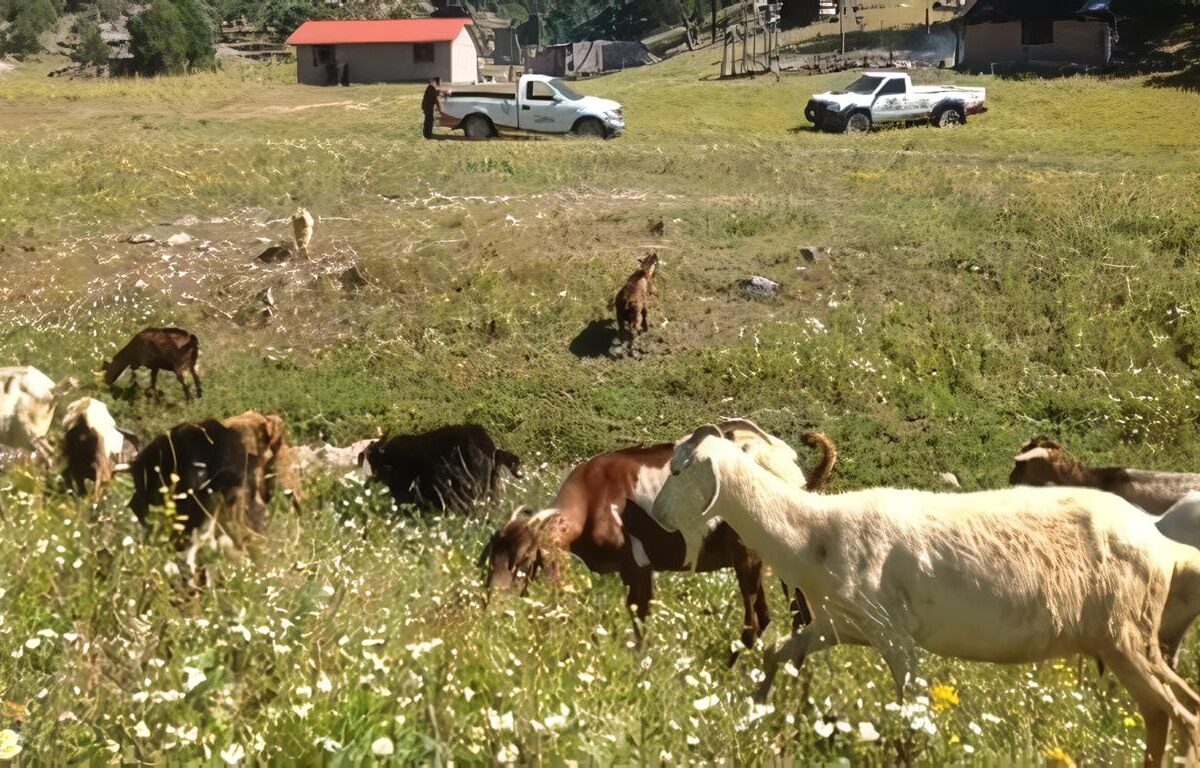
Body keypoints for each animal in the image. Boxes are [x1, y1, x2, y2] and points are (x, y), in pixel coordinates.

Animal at [477, 422, 835, 657]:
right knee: (798, 616)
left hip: (747, 554)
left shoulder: (636, 565)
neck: (594, 498)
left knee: (757, 620)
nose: (492, 605)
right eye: (491, 558)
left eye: (524, 560)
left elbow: (639, 615)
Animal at [652, 427, 1200, 768]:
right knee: (1171, 710)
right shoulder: (838, 625)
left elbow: (911, 711)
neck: (814, 533)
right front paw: (754, 715)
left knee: (1179, 713)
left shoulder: (894, 635)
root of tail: (1160, 540)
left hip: (1124, 636)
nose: (656, 516)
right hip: (1134, 639)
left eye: (678, 470)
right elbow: (778, 656)